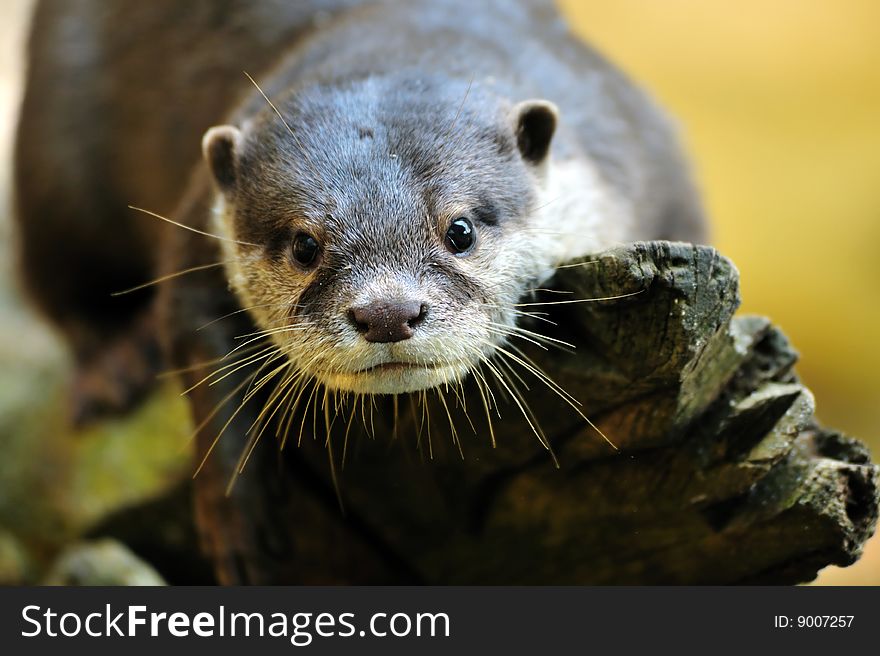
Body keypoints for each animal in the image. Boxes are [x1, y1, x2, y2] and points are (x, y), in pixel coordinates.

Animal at [15, 0, 708, 584]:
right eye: (304, 245)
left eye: (459, 229)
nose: (387, 312)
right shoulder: (195, 220)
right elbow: (196, 344)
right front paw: (239, 518)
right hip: (52, 159)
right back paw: (115, 365)